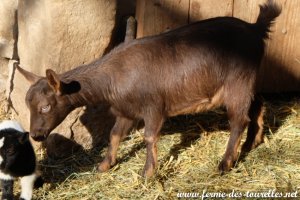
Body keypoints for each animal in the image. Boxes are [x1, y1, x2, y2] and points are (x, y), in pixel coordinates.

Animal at [16, 0, 280, 177]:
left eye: (45, 106)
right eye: (27, 104)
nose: (36, 135)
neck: (113, 76)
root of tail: (255, 28)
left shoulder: (153, 107)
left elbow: (150, 136)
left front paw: (147, 172)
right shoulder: (125, 111)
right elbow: (114, 134)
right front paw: (105, 165)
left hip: (237, 83)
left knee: (239, 120)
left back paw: (225, 163)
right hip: (246, 81)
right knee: (257, 104)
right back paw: (253, 142)